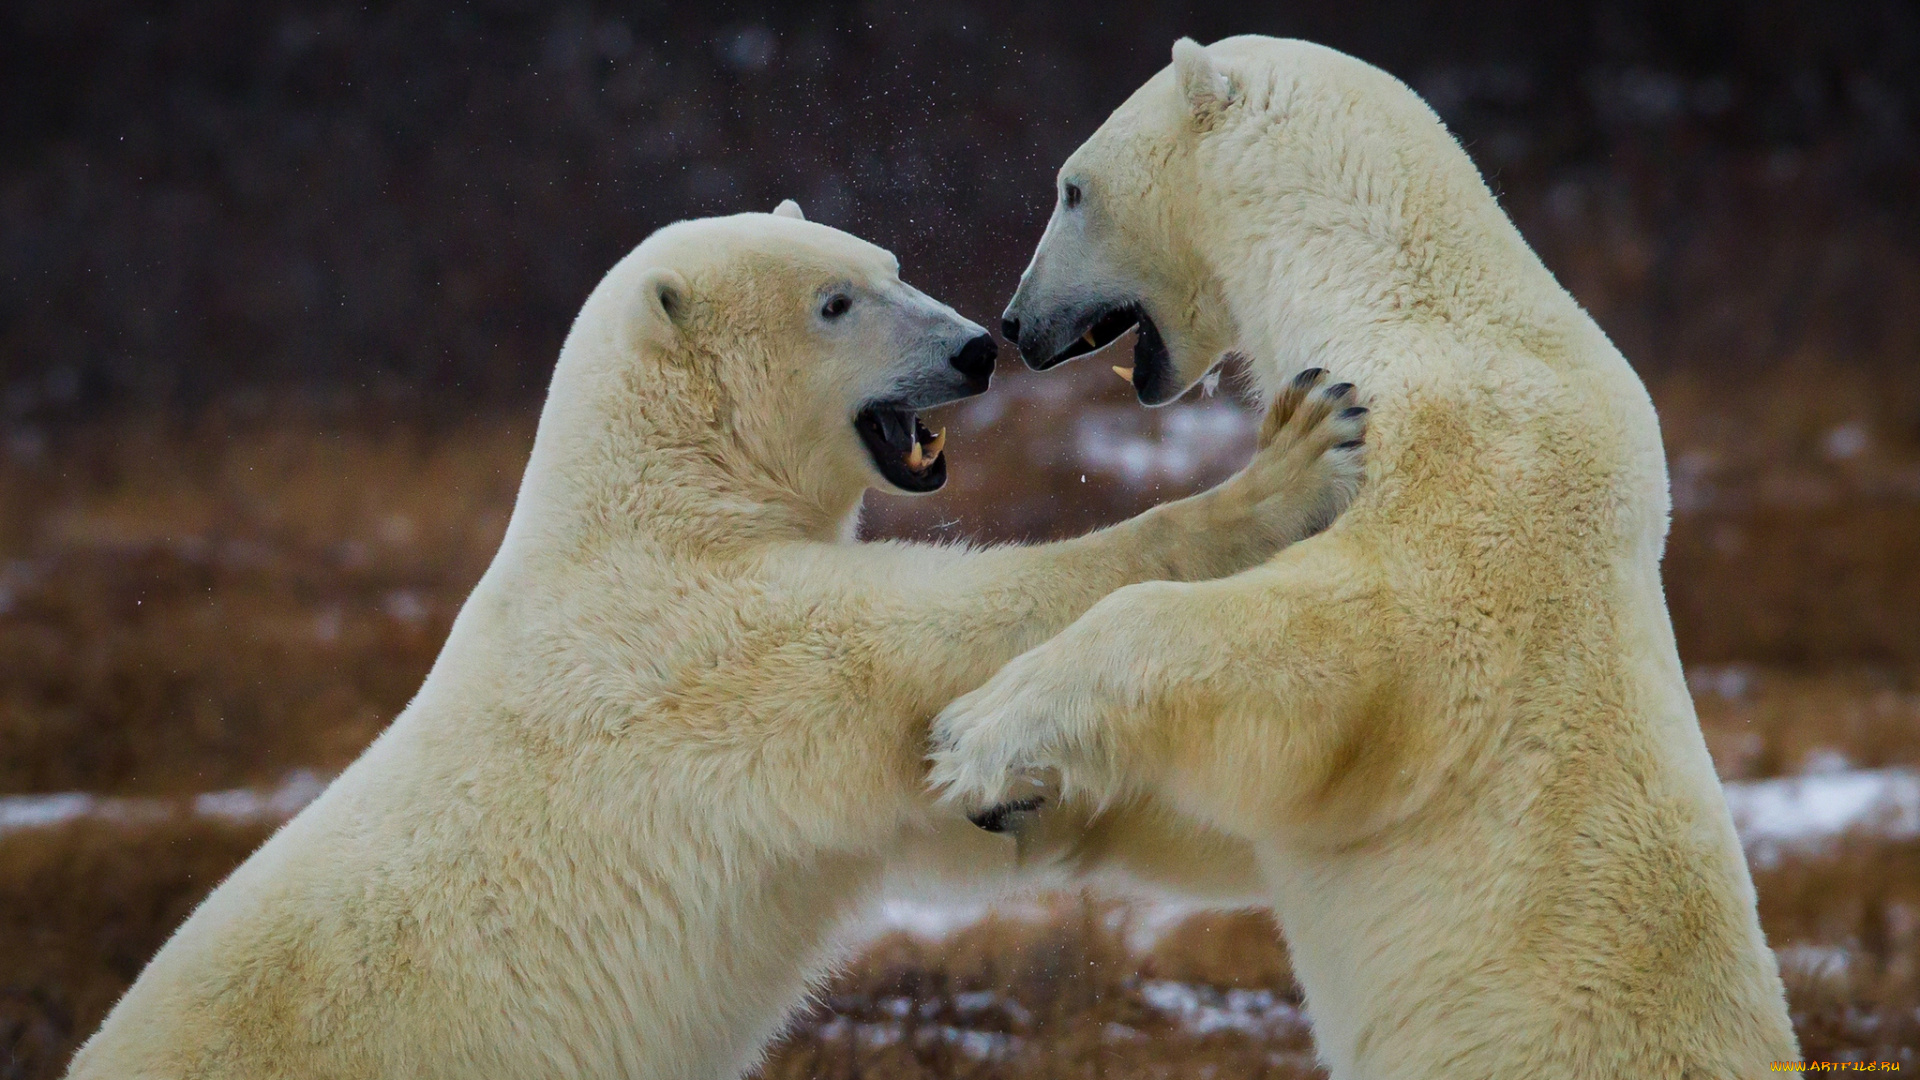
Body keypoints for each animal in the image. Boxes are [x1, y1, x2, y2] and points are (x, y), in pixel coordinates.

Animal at [67, 201, 1367, 1076]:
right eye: (835, 303)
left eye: (890, 265)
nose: (974, 348)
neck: (654, 495)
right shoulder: (696, 640)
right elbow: (942, 625)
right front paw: (1293, 456)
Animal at [929, 35, 1797, 1076]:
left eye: (1071, 189)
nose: (1017, 323)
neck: (1390, 287)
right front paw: (1024, 803)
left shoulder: (1459, 458)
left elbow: (1354, 651)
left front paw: (976, 735)